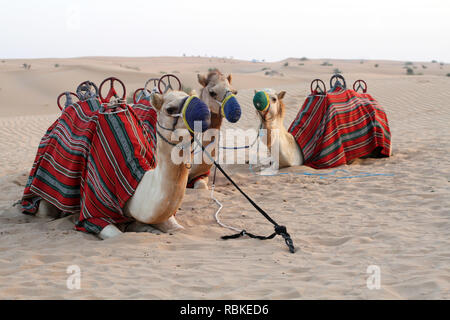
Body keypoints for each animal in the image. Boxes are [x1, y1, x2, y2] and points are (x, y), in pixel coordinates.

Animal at [36, 91, 209, 239]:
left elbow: (178, 229)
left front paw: (144, 227)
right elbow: (115, 234)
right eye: (170, 109)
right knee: (44, 210)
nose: (205, 112)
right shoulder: (94, 212)